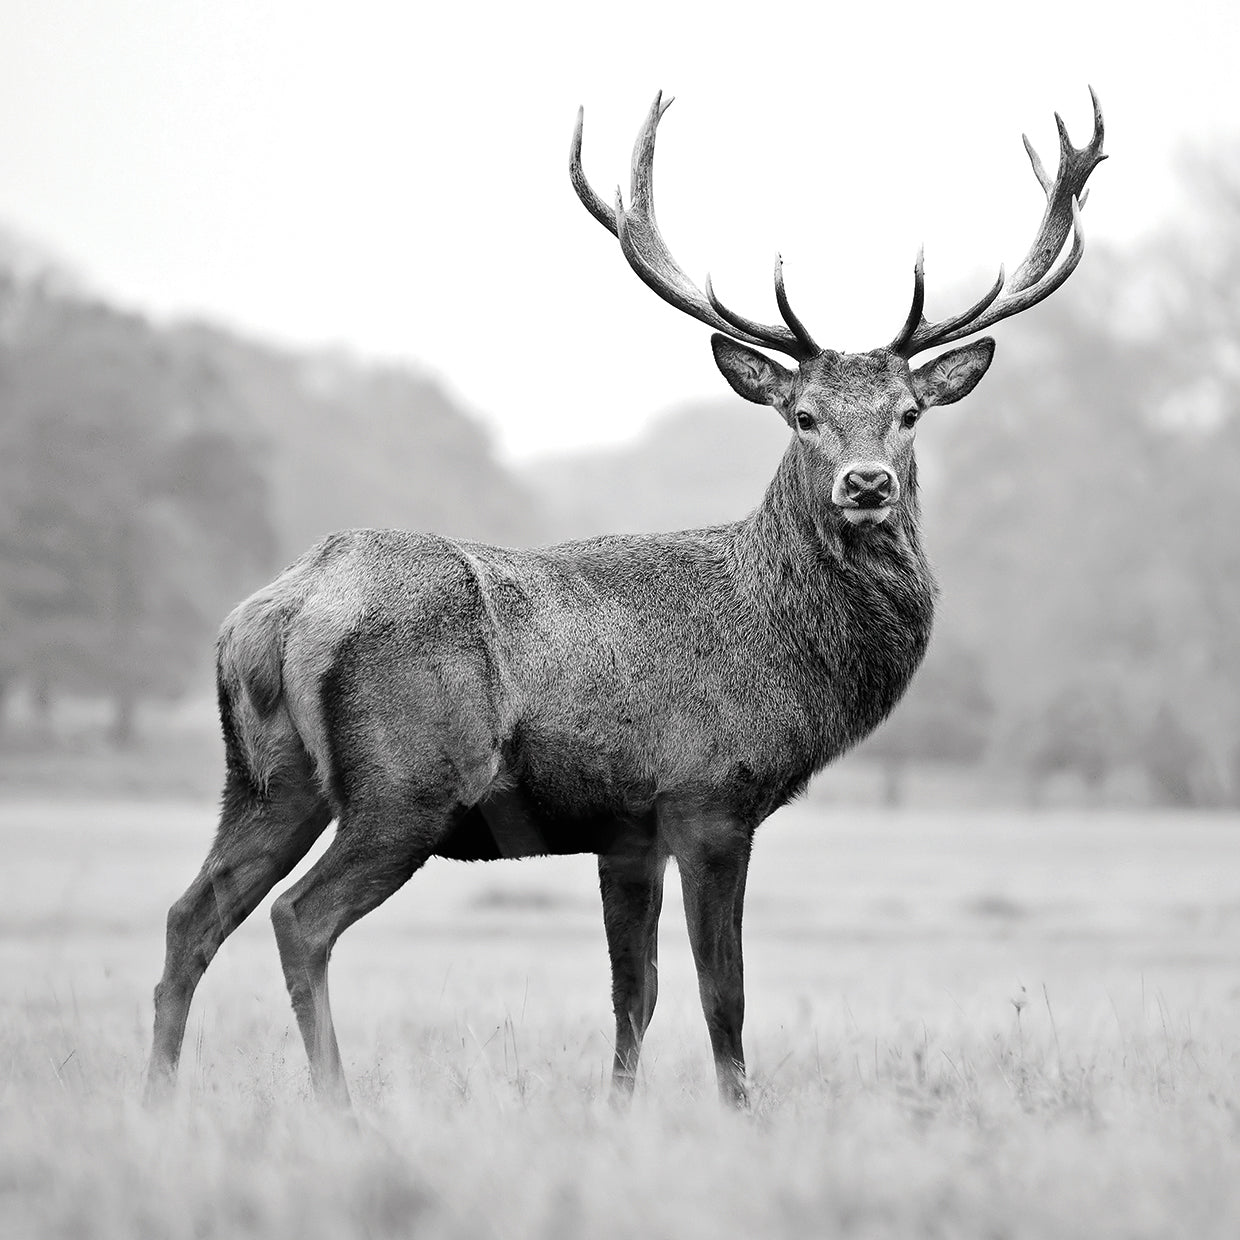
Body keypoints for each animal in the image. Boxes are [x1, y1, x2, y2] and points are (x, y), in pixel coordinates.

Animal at [145, 91, 1105, 1109]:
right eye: (802, 415)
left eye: (910, 414)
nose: (868, 483)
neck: (784, 653)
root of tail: (281, 609)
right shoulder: (709, 796)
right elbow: (723, 993)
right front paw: (740, 1115)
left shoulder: (624, 829)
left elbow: (632, 994)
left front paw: (617, 1114)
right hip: (406, 783)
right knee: (299, 919)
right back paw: (338, 1106)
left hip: (264, 779)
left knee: (189, 916)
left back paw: (157, 1099)